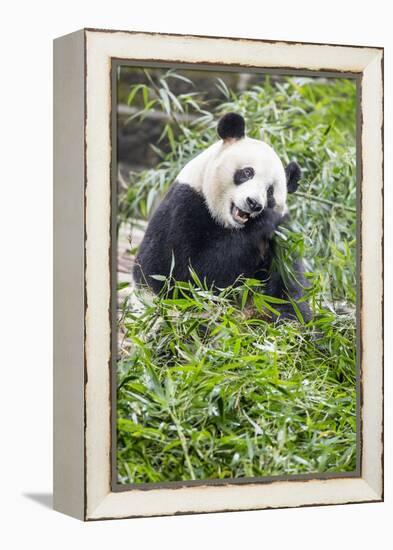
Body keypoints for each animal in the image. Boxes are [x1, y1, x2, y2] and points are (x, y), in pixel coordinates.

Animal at [133, 113, 310, 322]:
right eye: (247, 172)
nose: (254, 203)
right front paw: (265, 222)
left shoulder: (284, 240)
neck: (230, 225)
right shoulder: (183, 210)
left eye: (270, 192)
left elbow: (289, 290)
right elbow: (189, 278)